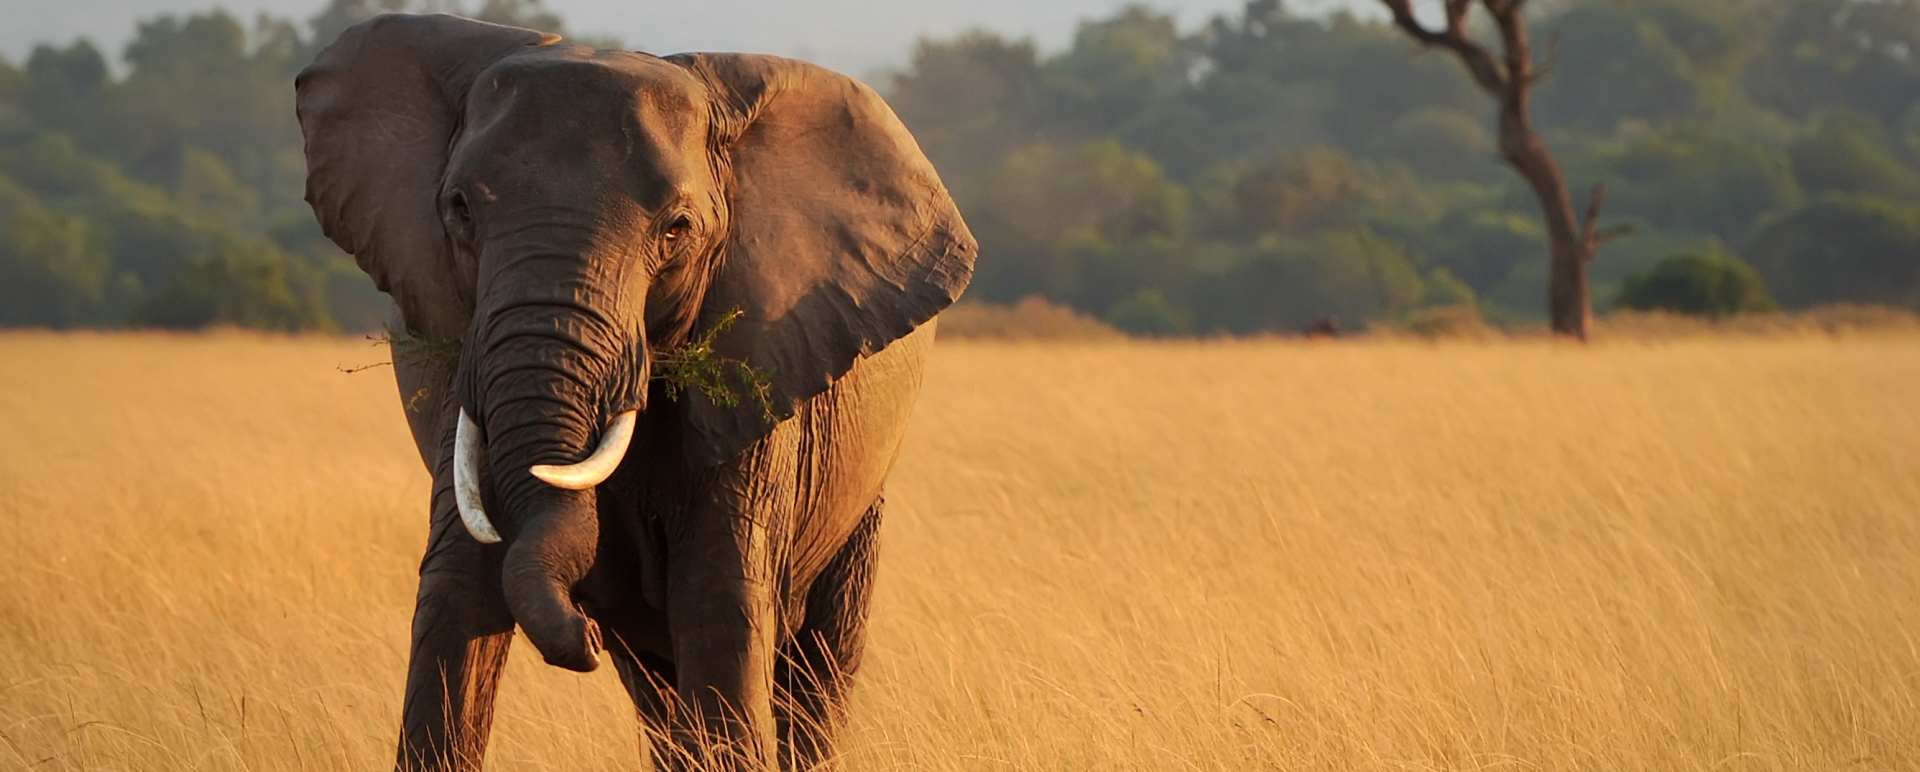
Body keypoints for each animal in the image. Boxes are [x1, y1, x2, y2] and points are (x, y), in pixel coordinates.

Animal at [294, 13, 976, 770]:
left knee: (816, 666)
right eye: (460, 210)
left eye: (677, 229)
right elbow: (458, 592)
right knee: (656, 686)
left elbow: (719, 601)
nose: (583, 638)